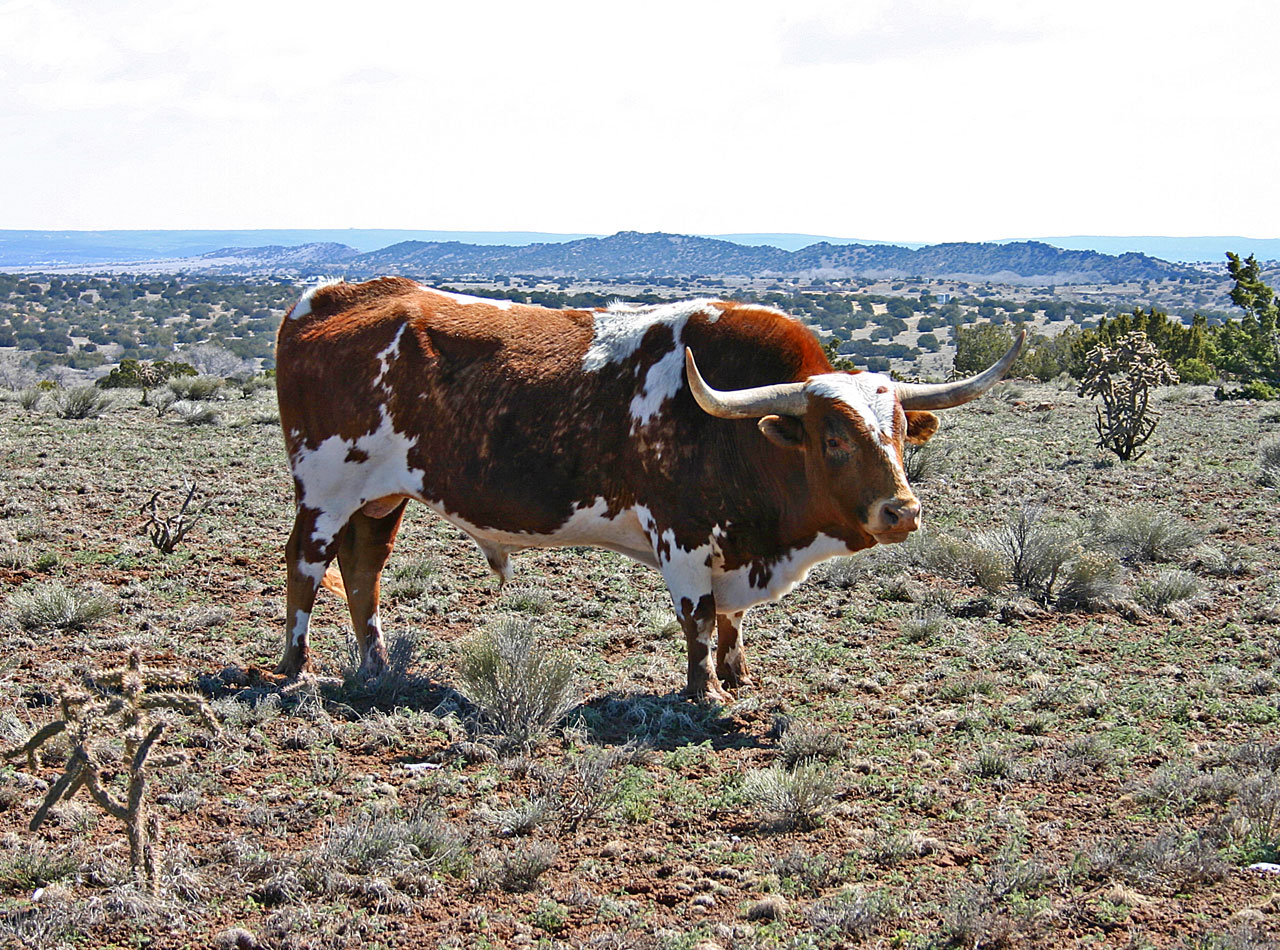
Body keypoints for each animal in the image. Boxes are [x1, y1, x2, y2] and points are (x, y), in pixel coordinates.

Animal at [277, 279, 1018, 701]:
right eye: (834, 437)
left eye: (900, 432)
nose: (903, 511)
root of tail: (333, 294)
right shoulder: (681, 538)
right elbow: (699, 618)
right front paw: (706, 692)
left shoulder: (733, 544)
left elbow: (731, 619)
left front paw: (739, 675)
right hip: (324, 491)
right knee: (306, 567)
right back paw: (295, 665)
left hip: (380, 497)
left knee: (364, 570)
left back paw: (376, 665)